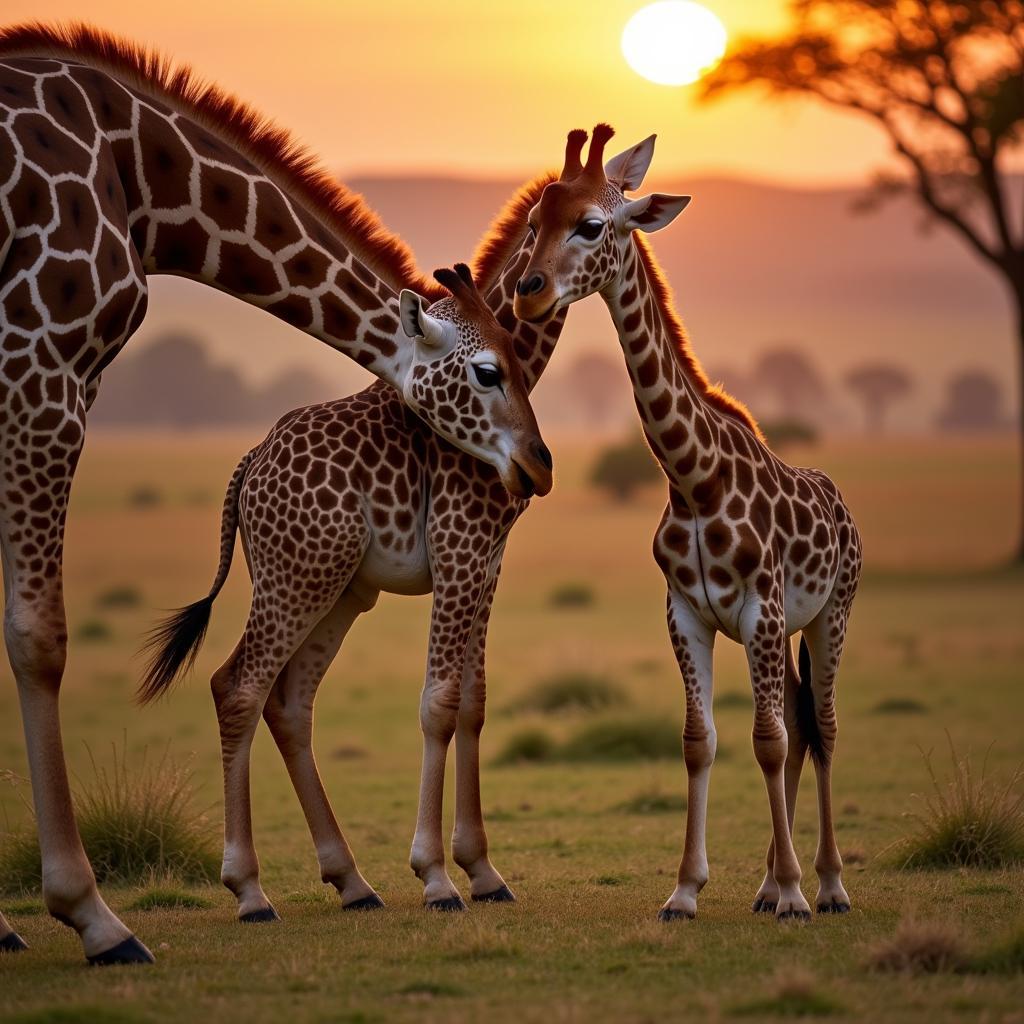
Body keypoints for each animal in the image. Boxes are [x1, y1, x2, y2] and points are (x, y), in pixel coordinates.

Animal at [141, 178, 569, 921]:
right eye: (488, 372)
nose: (539, 468)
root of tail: (250, 464)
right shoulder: (459, 554)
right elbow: (440, 701)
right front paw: (437, 877)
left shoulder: (486, 566)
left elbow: (475, 700)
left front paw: (482, 871)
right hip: (296, 579)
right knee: (238, 685)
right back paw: (250, 889)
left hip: (341, 590)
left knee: (288, 701)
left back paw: (352, 881)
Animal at [512, 125, 864, 921]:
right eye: (533, 221)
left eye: (592, 225)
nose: (528, 290)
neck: (694, 480)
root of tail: (842, 505)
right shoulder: (687, 611)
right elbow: (700, 741)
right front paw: (686, 891)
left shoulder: (762, 607)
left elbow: (765, 741)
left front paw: (795, 893)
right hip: (785, 629)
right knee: (800, 724)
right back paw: (768, 885)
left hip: (829, 614)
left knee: (822, 727)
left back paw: (827, 885)